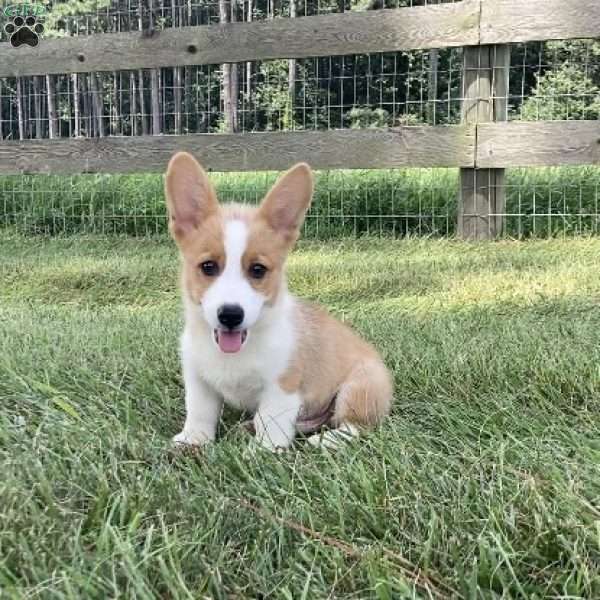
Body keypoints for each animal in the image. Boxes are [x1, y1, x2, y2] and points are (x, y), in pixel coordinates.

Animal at [166, 152, 396, 452]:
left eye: (258, 270)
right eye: (208, 267)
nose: (230, 315)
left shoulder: (281, 386)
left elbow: (270, 419)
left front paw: (261, 451)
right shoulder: (198, 379)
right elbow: (199, 412)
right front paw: (193, 439)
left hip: (359, 388)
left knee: (355, 425)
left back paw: (324, 440)